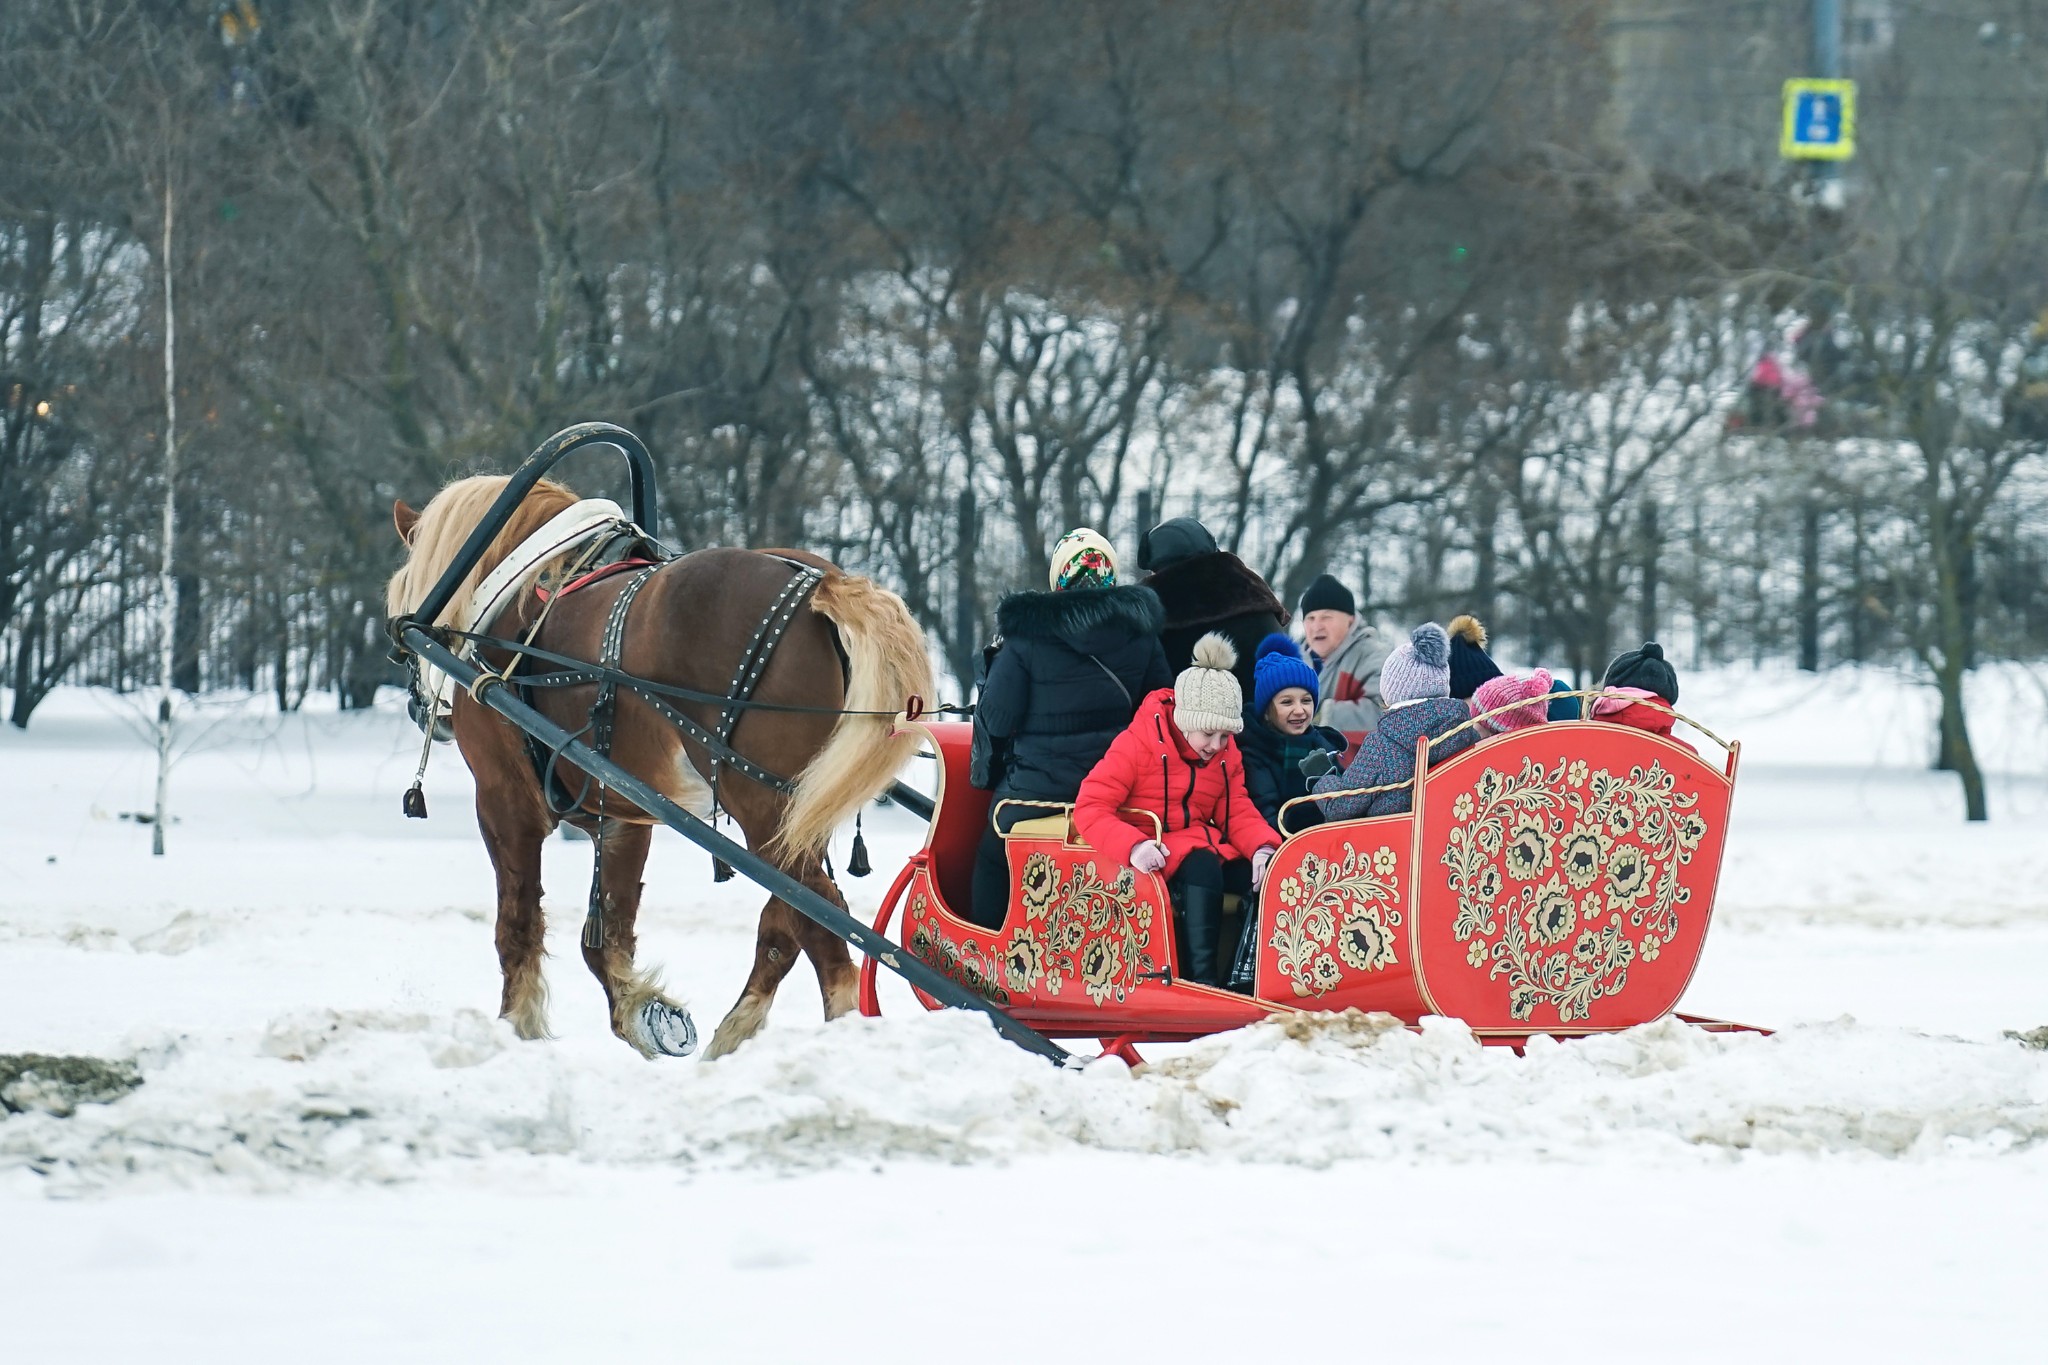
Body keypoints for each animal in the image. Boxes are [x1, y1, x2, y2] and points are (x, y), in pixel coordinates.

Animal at [380, 474, 933, 1064]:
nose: (419, 706)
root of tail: (821, 584)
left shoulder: (504, 801)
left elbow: (518, 924)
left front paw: (519, 1029)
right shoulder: (623, 816)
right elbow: (606, 934)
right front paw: (645, 1014)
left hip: (763, 806)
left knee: (822, 924)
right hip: (794, 812)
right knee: (790, 921)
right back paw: (734, 1035)